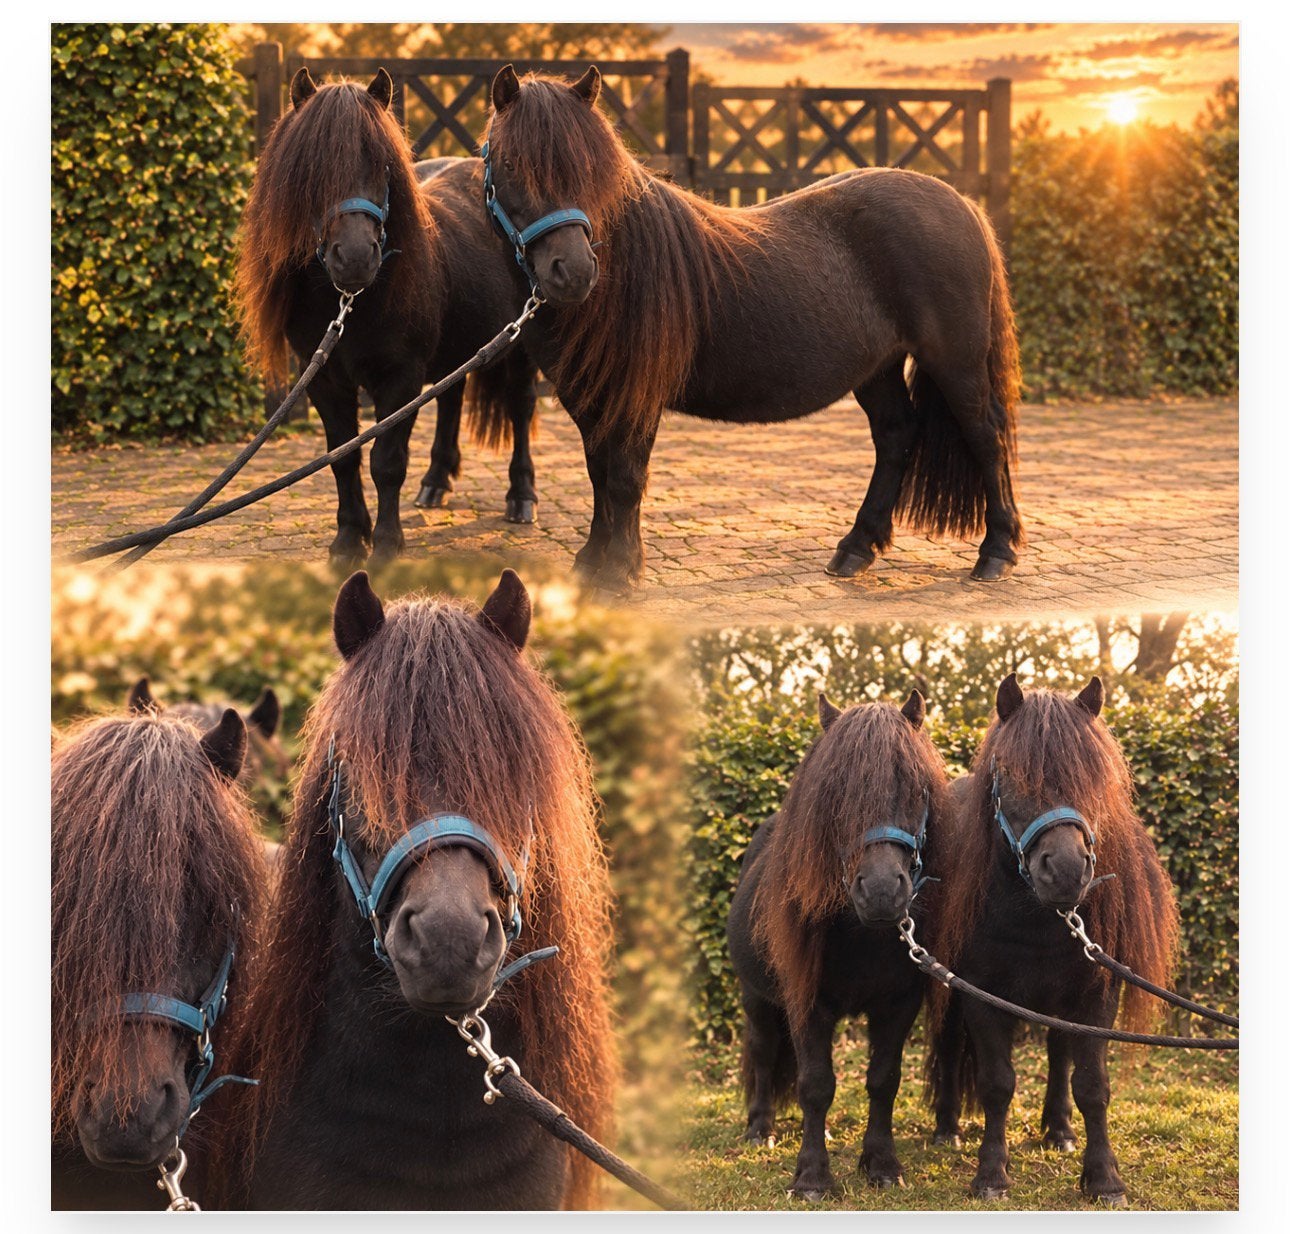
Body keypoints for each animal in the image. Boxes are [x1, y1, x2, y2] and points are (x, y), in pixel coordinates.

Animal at [237, 68, 540, 569]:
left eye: (382, 164)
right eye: (312, 169)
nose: (356, 258)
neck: (349, 302)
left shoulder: (400, 377)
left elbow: (387, 460)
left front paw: (386, 544)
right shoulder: (323, 380)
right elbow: (343, 457)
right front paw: (347, 540)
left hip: (518, 347)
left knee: (520, 407)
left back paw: (522, 497)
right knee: (451, 399)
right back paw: (435, 483)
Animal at [480, 65, 1023, 594]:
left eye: (594, 170)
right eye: (510, 165)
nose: (572, 272)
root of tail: (963, 204)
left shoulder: (636, 396)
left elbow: (625, 478)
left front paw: (619, 572)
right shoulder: (588, 397)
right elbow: (598, 473)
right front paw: (592, 561)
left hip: (955, 361)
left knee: (985, 434)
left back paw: (995, 552)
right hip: (878, 368)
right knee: (895, 435)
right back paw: (855, 549)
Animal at [727, 690, 950, 1200]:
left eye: (917, 789)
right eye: (836, 793)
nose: (883, 891)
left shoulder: (899, 1003)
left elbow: (884, 1080)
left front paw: (882, 1164)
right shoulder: (806, 1002)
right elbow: (815, 1084)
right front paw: (812, 1176)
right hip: (756, 999)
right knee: (764, 1053)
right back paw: (760, 1130)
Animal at [925, 673, 1180, 1205]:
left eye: (1094, 775)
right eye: (1011, 773)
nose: (1064, 870)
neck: (1039, 918)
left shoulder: (1097, 994)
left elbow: (1092, 1085)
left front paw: (1103, 1178)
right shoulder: (980, 993)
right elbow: (997, 1083)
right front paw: (991, 1174)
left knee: (1061, 1055)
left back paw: (1059, 1130)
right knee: (951, 1042)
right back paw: (947, 1128)